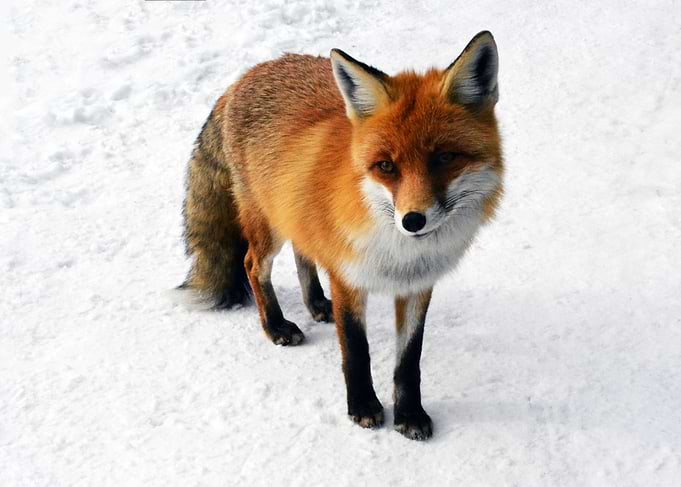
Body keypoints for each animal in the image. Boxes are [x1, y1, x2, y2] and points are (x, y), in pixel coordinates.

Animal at [176, 31, 503, 440]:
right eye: (386, 166)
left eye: (444, 158)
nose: (413, 220)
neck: (397, 252)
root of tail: (248, 74)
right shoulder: (348, 277)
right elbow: (356, 350)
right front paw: (362, 406)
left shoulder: (417, 285)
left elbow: (409, 360)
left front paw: (409, 414)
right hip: (267, 226)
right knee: (253, 265)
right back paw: (275, 326)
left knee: (303, 252)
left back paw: (316, 303)